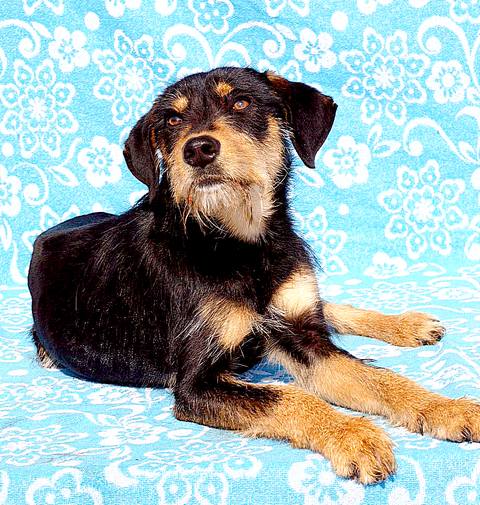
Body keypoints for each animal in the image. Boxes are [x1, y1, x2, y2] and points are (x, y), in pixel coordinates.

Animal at [28, 67, 480, 484]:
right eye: (171, 121)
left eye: (241, 103)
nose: (198, 149)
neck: (239, 244)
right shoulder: (196, 385)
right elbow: (291, 397)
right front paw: (355, 436)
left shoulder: (305, 340)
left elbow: (382, 380)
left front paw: (448, 408)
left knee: (330, 307)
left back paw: (410, 324)